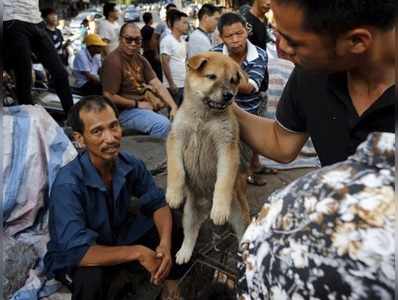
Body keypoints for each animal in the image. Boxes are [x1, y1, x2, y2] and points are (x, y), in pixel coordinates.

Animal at [166, 52, 250, 264]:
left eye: (233, 80)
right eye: (212, 77)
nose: (229, 95)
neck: (203, 118)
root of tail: (205, 205)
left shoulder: (227, 147)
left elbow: (223, 181)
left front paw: (219, 209)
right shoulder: (175, 139)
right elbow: (176, 170)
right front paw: (174, 195)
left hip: (239, 213)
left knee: (242, 234)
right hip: (189, 214)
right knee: (191, 233)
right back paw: (184, 253)